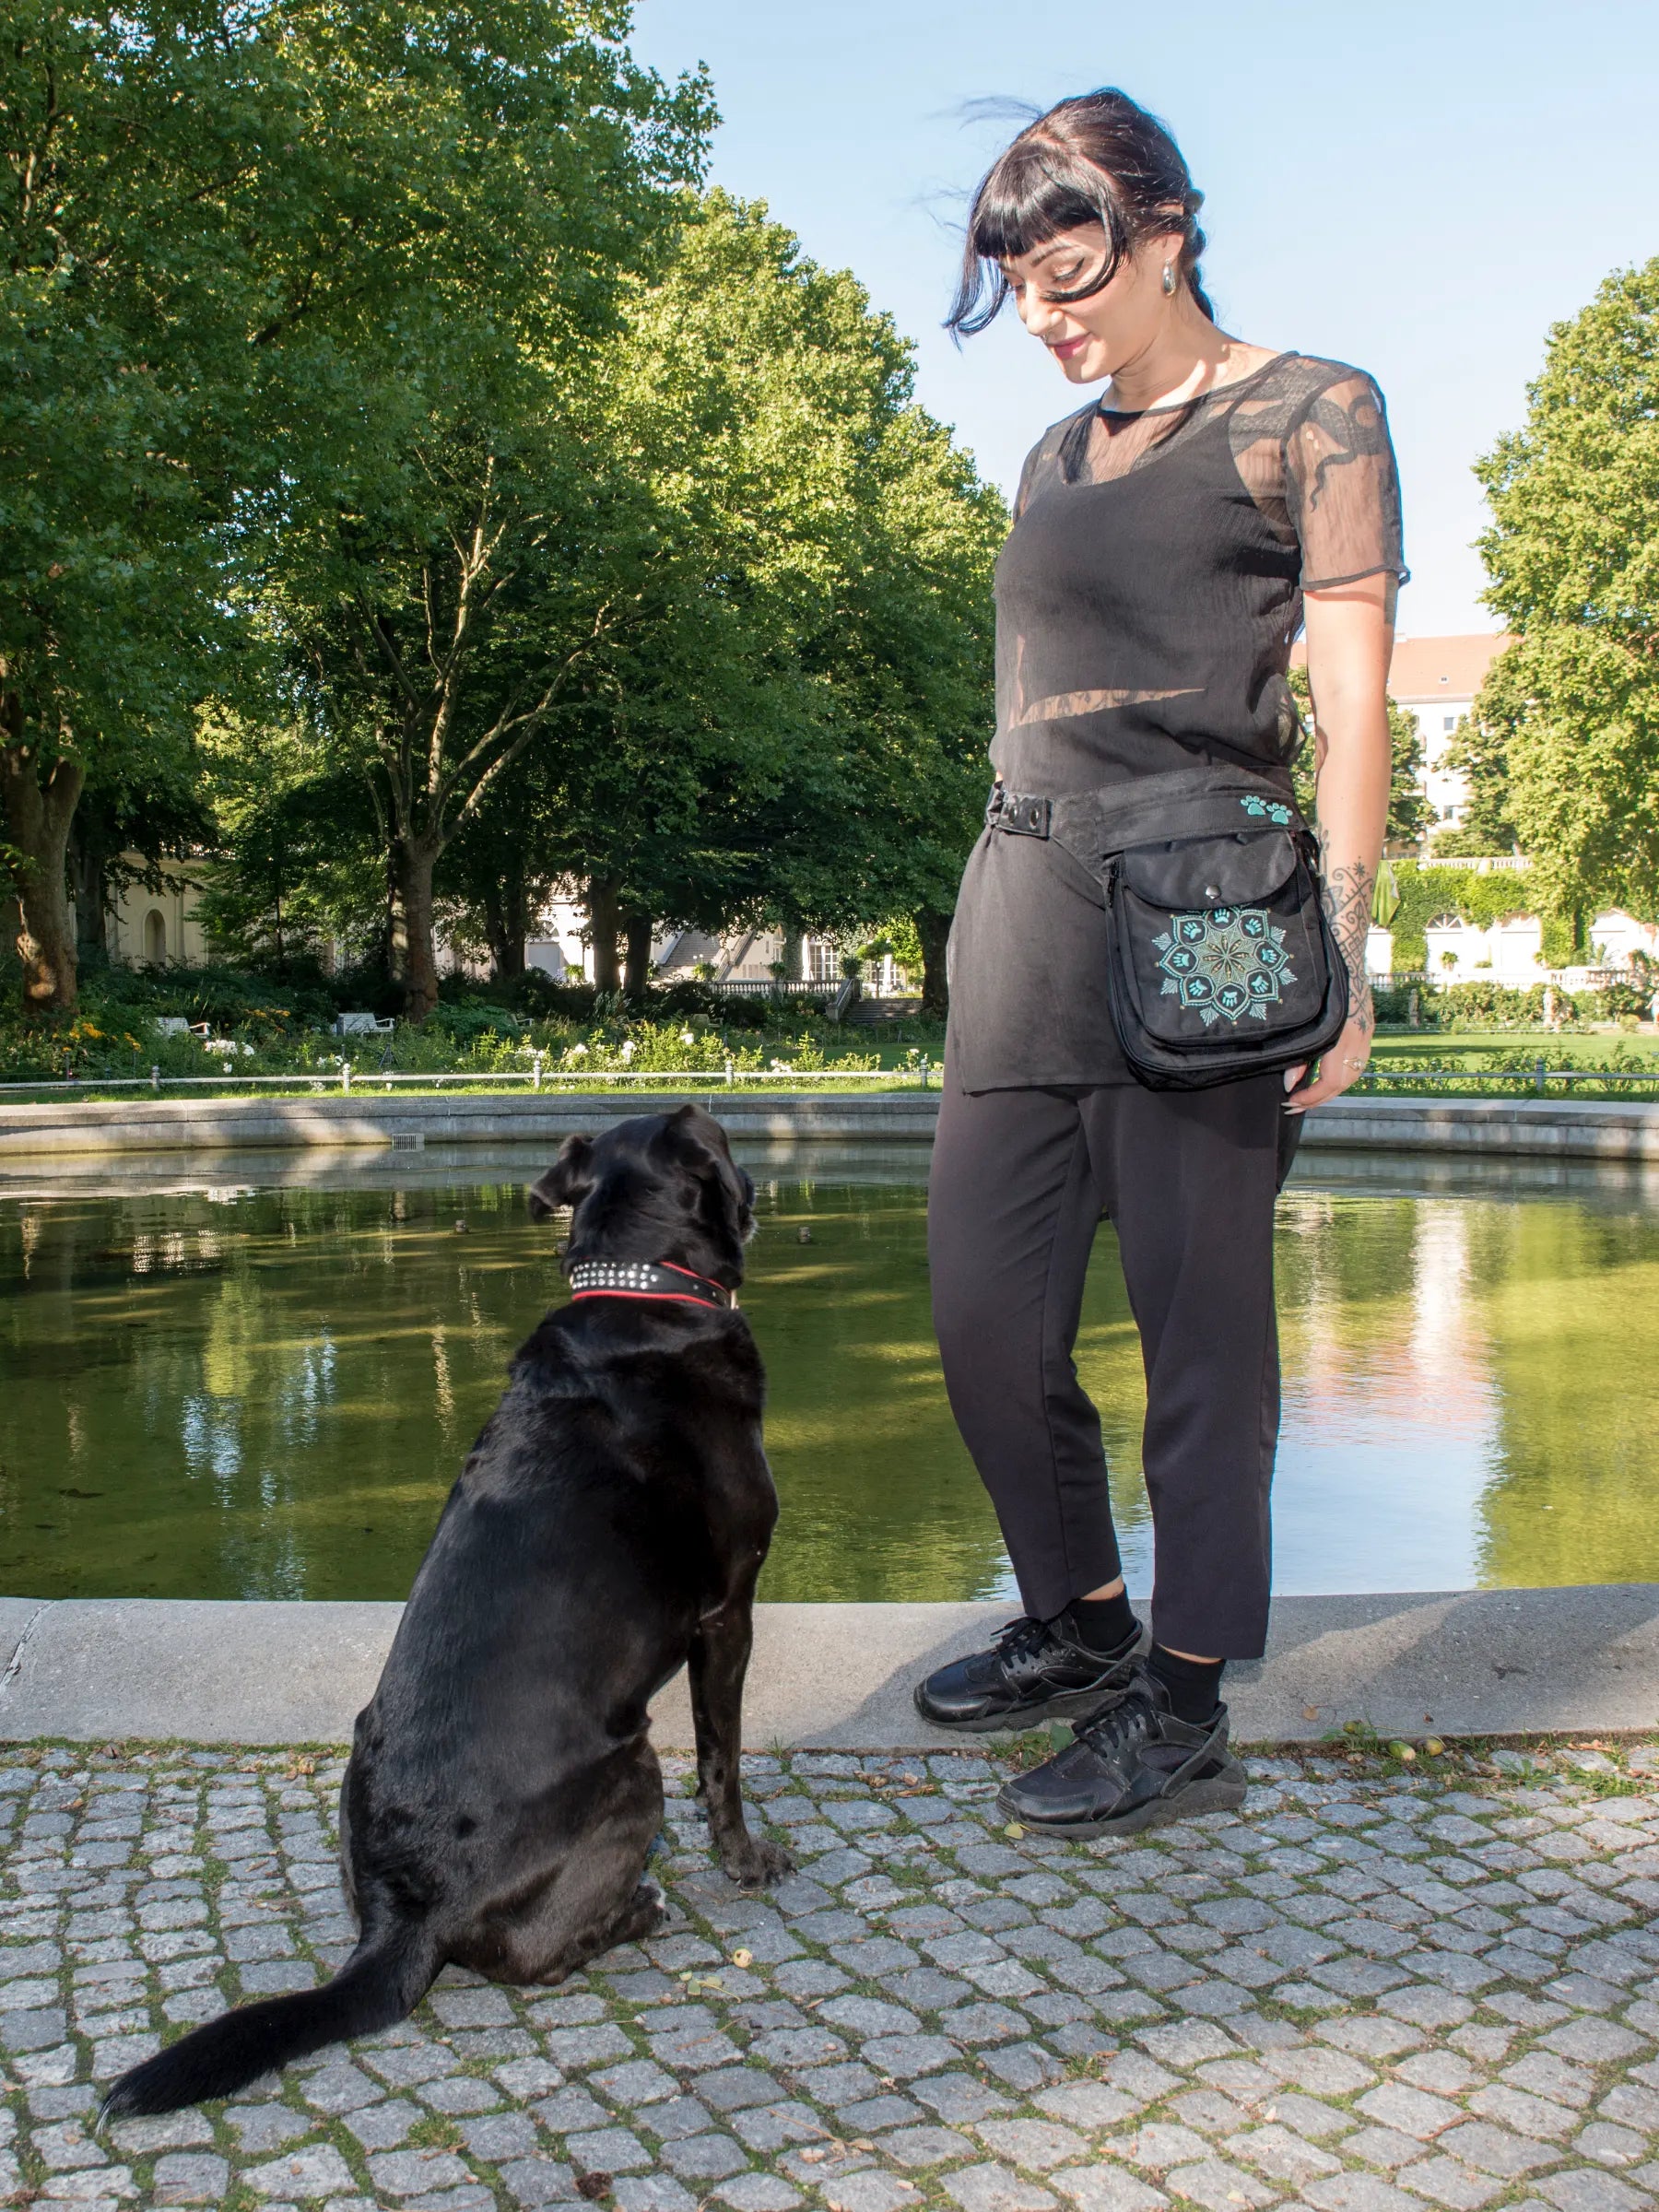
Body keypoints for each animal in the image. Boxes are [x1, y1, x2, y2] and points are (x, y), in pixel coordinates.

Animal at [107, 1097, 796, 2114]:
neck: (641, 1292)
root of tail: (407, 1909)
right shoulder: (729, 1611)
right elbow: (725, 1761)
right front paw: (746, 1862)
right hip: (634, 1768)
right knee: (533, 1956)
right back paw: (639, 1908)